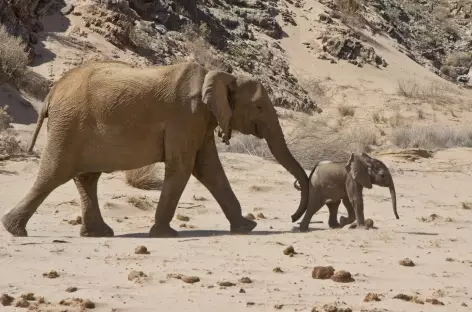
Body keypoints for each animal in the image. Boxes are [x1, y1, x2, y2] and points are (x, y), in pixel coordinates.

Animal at [1, 59, 312, 238]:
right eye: (258, 107)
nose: (293, 219)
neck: (220, 76)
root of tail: (53, 91)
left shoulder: (200, 120)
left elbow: (208, 169)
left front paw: (247, 228)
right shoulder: (185, 116)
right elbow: (184, 167)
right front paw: (164, 234)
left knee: (86, 177)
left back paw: (98, 234)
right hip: (69, 126)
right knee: (54, 174)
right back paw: (14, 230)